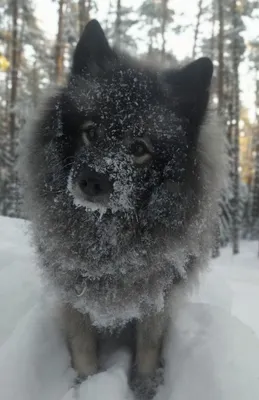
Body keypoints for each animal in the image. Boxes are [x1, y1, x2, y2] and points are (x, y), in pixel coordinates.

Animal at [18, 18, 225, 396]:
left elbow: (148, 349)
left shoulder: (155, 300)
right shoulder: (75, 297)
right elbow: (83, 349)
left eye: (139, 148)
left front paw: (144, 387)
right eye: (92, 131)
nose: (92, 180)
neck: (109, 238)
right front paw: (87, 385)